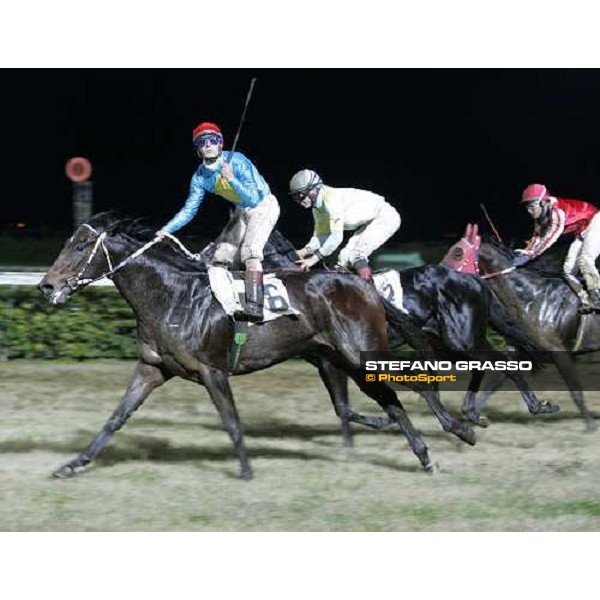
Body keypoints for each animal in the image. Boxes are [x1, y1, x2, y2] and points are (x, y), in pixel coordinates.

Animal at [38, 213, 450, 480]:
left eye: (81, 246)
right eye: (69, 243)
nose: (46, 285)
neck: (172, 295)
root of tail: (364, 286)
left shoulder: (212, 370)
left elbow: (232, 422)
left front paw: (247, 470)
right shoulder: (154, 367)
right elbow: (116, 418)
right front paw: (73, 464)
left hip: (361, 354)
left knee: (412, 385)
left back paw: (455, 427)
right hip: (344, 358)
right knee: (389, 401)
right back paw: (423, 453)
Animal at [472, 239, 596, 432]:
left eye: (457, 254)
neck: (532, 297)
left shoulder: (558, 349)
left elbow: (575, 389)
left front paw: (590, 425)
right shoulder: (517, 349)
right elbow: (494, 383)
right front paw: (473, 417)